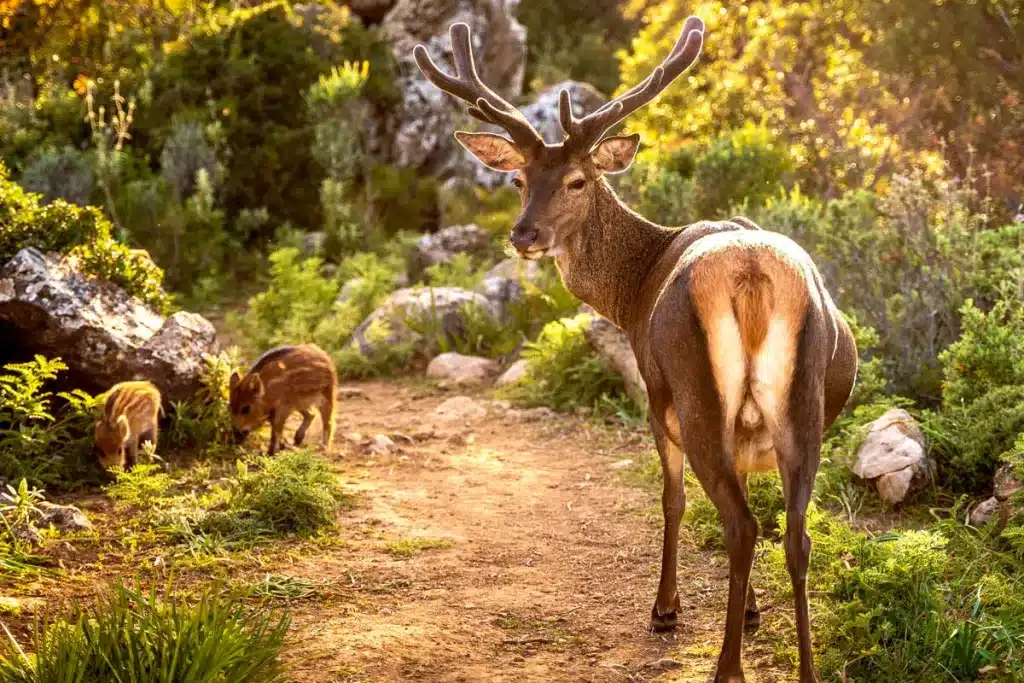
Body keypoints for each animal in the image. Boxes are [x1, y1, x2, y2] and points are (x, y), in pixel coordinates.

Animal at [414, 16, 858, 683]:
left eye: (578, 180)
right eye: (519, 179)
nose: (524, 234)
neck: (633, 287)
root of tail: (752, 276)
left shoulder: (653, 396)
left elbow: (672, 501)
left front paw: (666, 609)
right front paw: (752, 611)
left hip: (696, 392)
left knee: (739, 524)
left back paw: (726, 666)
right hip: (804, 406)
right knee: (794, 533)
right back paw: (805, 669)